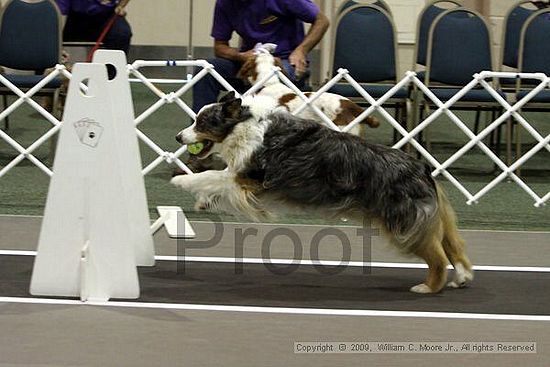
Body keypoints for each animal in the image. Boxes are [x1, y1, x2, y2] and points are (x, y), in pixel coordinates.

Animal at [174, 92, 474, 296]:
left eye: (201, 122)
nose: (178, 137)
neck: (243, 124)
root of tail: (423, 167)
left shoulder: (248, 180)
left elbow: (213, 177)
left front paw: (181, 180)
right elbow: (216, 179)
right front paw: (202, 199)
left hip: (403, 222)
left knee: (438, 256)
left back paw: (428, 287)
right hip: (424, 217)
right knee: (452, 245)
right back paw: (462, 277)